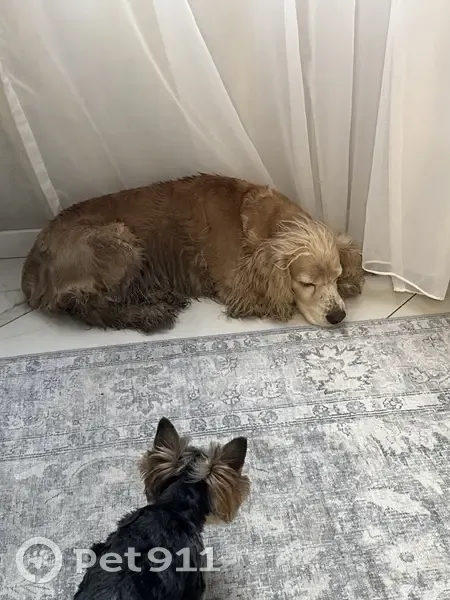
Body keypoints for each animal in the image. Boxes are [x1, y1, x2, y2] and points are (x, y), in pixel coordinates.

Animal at [22, 174, 364, 330]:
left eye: (336, 277)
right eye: (306, 283)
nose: (338, 316)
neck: (265, 220)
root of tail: (31, 265)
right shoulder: (238, 287)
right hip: (119, 240)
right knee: (93, 306)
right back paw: (152, 313)